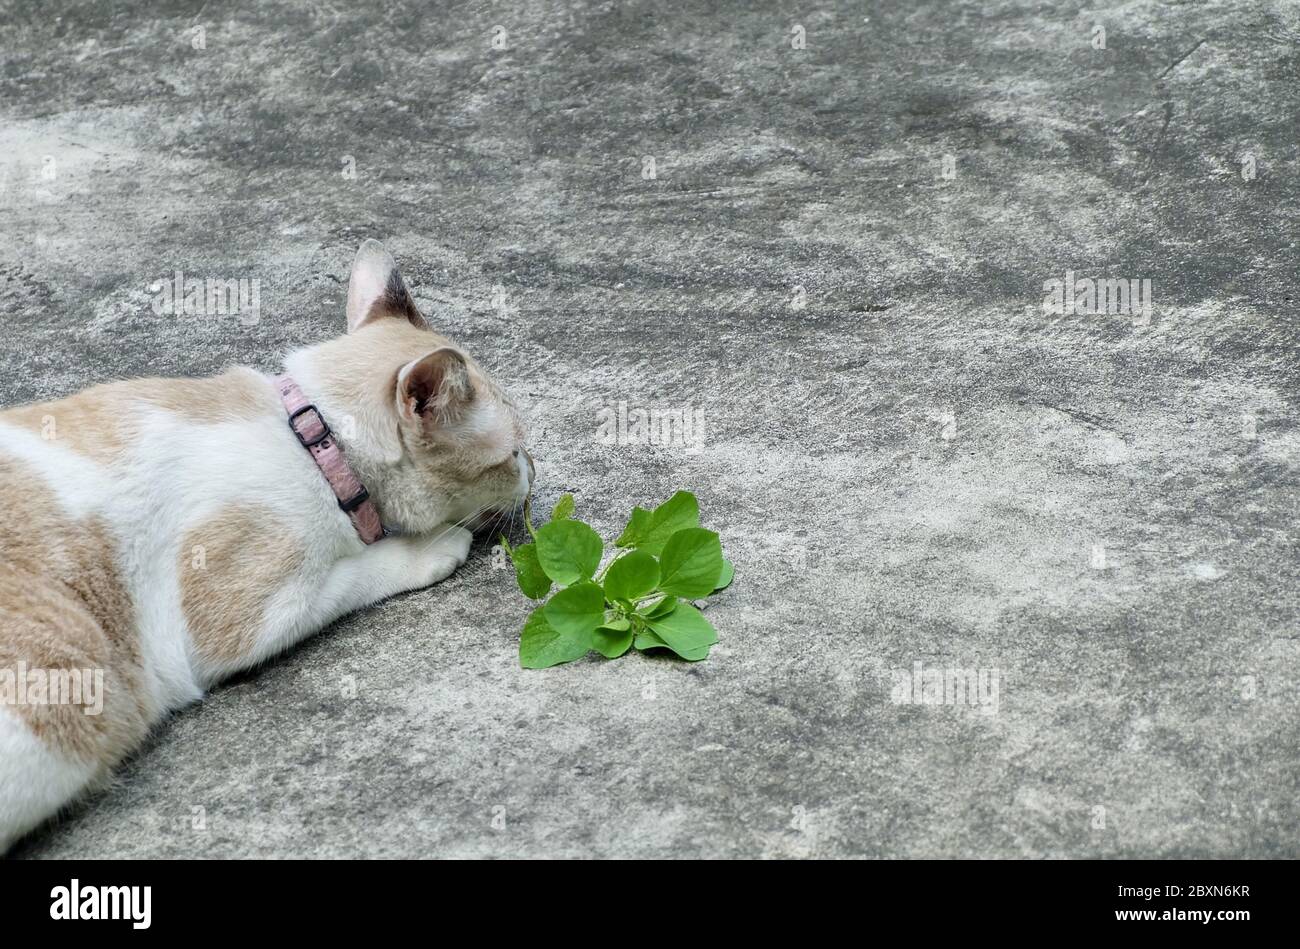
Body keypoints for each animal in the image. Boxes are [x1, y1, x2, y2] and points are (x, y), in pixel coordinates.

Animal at [0, 237, 533, 852]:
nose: (534, 474)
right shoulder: (244, 617)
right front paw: (431, 547)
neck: (313, 437)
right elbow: (357, 570)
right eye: (512, 454)